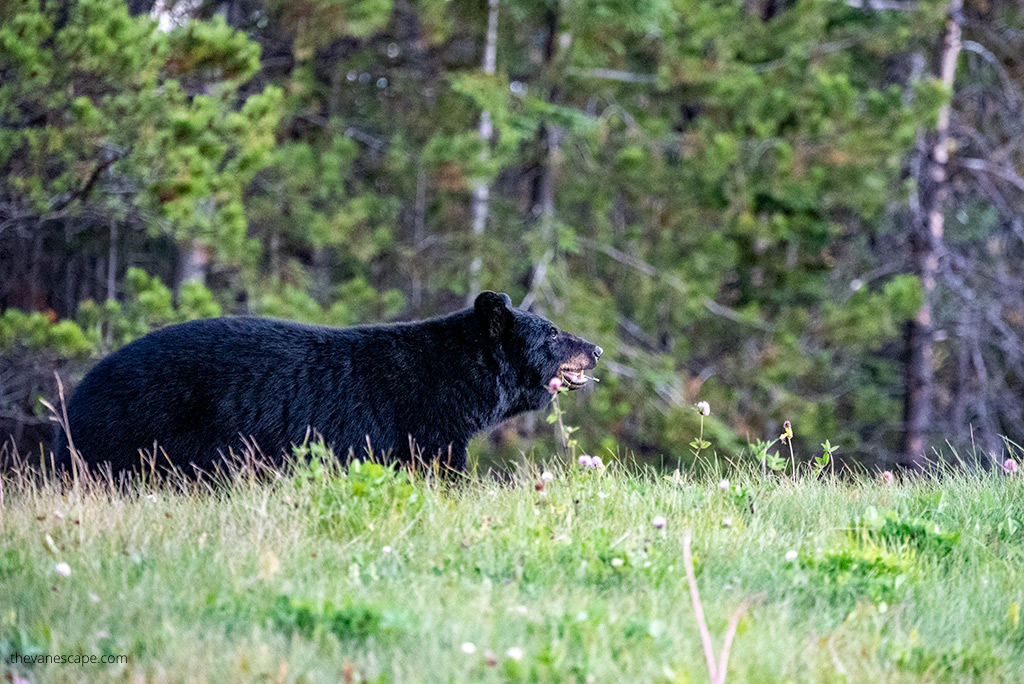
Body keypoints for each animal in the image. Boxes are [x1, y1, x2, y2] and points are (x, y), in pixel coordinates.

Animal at [61, 290, 598, 475]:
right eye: (552, 332)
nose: (594, 348)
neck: (457, 380)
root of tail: (78, 394)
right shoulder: (420, 419)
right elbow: (437, 466)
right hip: (139, 426)